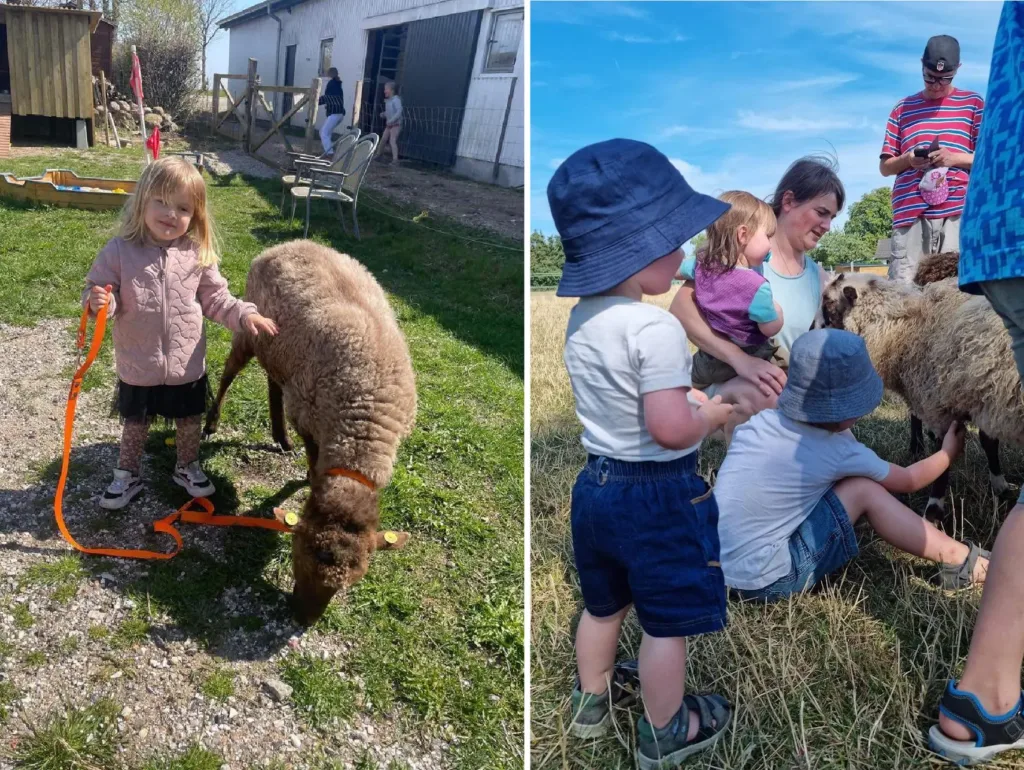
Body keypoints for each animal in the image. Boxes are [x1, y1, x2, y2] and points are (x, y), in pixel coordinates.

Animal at [202, 240, 415, 626]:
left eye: (353, 581)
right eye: (299, 556)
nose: (304, 620)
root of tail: (287, 244)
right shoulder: (310, 419)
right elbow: (314, 465)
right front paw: (309, 477)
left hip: (280, 352)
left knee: (273, 384)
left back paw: (280, 436)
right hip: (251, 332)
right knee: (228, 374)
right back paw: (212, 423)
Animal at [815, 270, 1024, 518]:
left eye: (828, 305)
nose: (809, 333)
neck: (907, 329)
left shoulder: (939, 404)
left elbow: (944, 454)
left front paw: (934, 508)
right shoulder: (982, 395)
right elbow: (988, 442)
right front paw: (1000, 486)